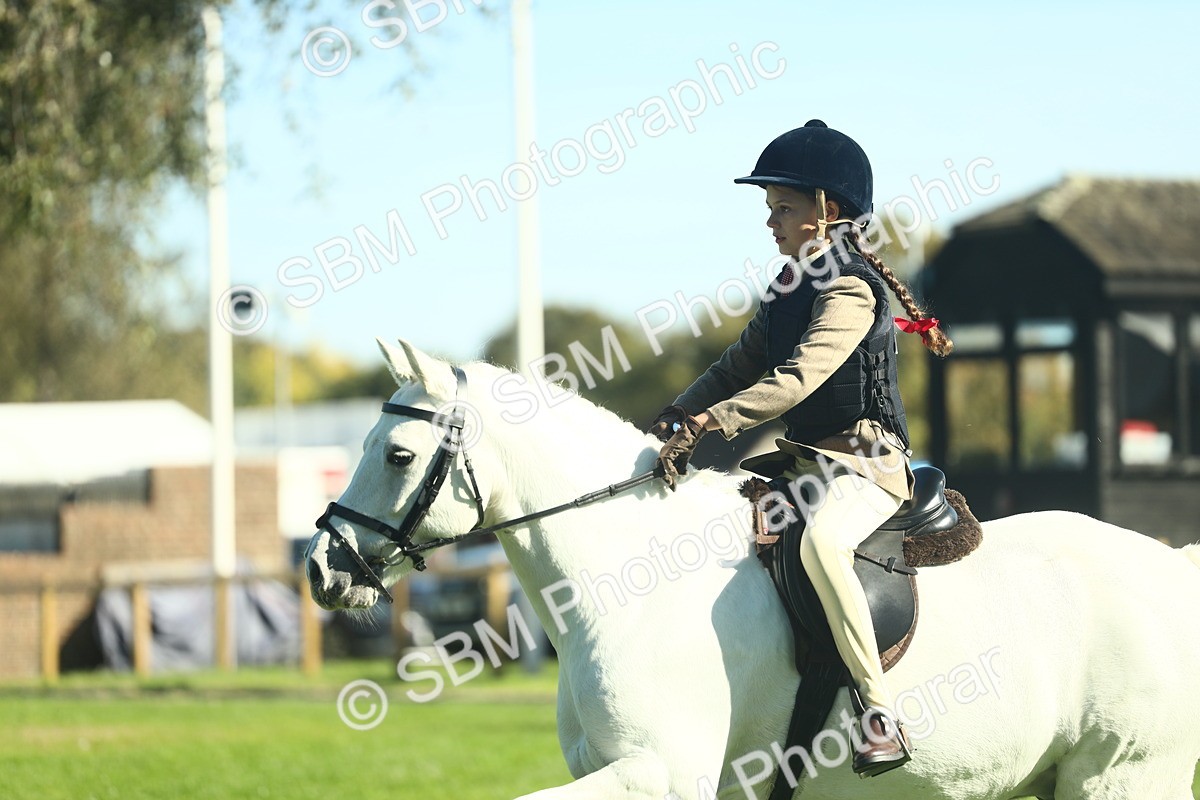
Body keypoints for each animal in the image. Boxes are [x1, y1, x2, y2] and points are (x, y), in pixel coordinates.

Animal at [304, 338, 1200, 800]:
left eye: (398, 453)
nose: (322, 568)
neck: (626, 579)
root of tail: (1169, 565)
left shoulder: (661, 775)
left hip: (1121, 778)